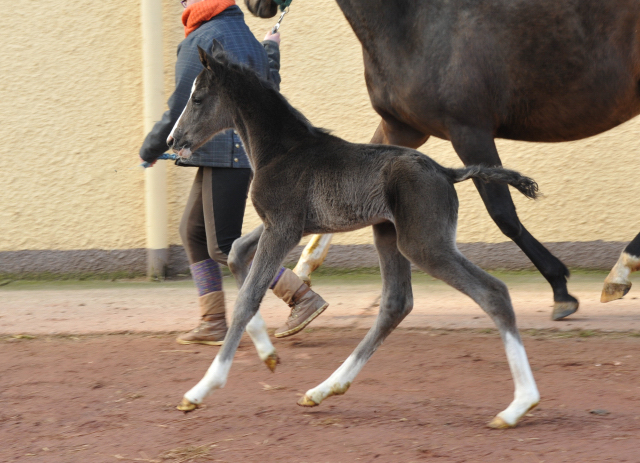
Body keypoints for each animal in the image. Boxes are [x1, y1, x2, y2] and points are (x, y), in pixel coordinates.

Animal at [169, 43, 540, 428]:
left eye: (197, 98)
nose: (173, 140)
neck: (282, 150)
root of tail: (446, 171)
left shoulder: (283, 228)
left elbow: (247, 298)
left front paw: (199, 391)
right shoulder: (289, 226)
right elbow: (236, 253)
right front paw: (268, 354)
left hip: (424, 244)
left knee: (492, 292)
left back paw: (519, 406)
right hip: (389, 234)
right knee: (396, 303)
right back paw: (323, 390)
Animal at [248, 0, 640, 320]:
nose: (254, 5)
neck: (415, 23)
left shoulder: (469, 130)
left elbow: (503, 214)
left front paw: (560, 289)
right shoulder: (401, 128)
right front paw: (299, 277)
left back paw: (621, 271)